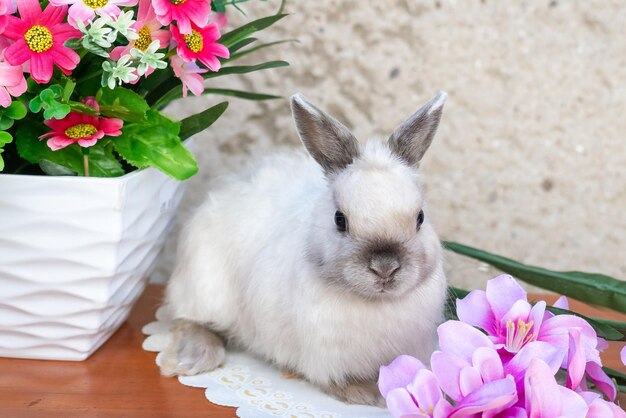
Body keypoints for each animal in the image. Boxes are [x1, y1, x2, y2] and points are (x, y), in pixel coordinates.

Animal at [158, 90, 446, 404]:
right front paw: (367, 394)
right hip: (205, 287)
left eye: (420, 218)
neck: (374, 303)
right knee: (192, 320)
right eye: (340, 219)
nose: (385, 268)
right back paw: (191, 359)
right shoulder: (326, 355)